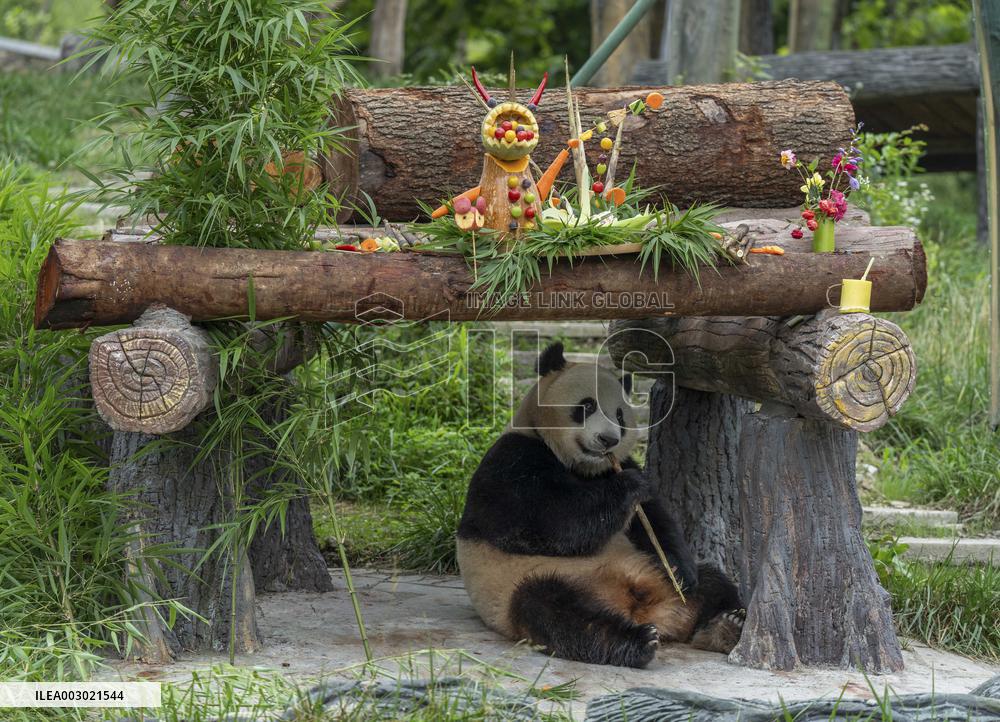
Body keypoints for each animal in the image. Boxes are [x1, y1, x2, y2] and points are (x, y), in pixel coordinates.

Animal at [456, 342, 744, 668]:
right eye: (587, 406)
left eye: (619, 415)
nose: (608, 439)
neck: (582, 467)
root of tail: (643, 610)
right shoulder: (510, 462)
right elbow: (545, 523)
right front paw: (629, 485)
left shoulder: (620, 464)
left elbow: (654, 521)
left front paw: (678, 569)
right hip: (524, 584)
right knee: (555, 611)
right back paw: (637, 641)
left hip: (652, 572)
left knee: (713, 582)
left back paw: (725, 624)